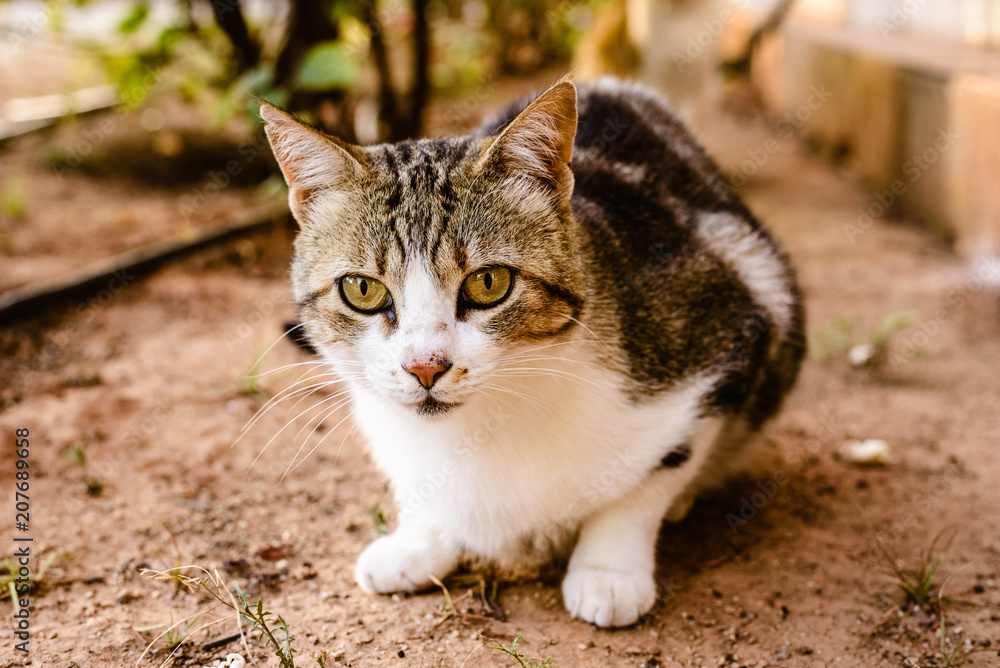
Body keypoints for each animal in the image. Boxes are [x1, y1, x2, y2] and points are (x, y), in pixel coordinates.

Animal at [260, 77, 804, 628]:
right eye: (362, 289)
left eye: (489, 283)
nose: (425, 366)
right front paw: (418, 541)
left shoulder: (733, 322)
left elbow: (652, 477)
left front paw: (609, 570)